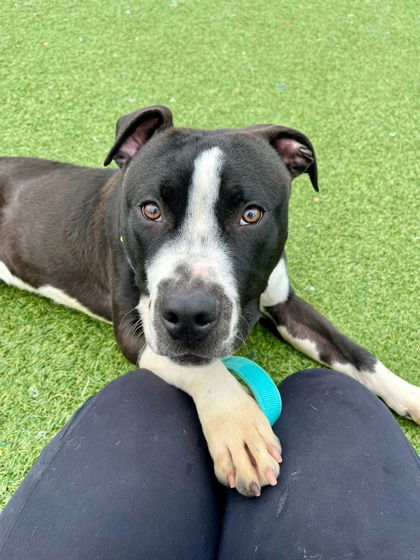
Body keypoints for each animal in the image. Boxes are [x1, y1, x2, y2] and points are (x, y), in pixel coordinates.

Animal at [1, 105, 419, 497]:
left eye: (251, 214)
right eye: (150, 209)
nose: (187, 314)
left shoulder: (287, 306)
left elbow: (358, 355)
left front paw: (409, 395)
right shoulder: (135, 329)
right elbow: (202, 368)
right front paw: (240, 428)